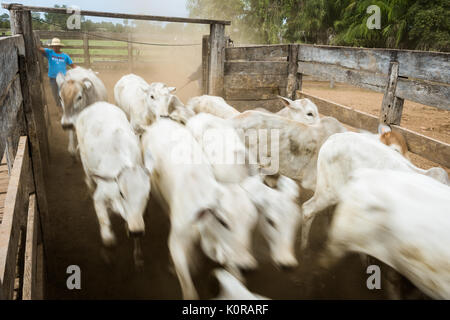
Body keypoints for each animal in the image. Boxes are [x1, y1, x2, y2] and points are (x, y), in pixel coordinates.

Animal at [141, 119, 256, 298]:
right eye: (223, 221)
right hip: (156, 190)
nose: (247, 266)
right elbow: (187, 286)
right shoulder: (176, 242)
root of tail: (160, 122)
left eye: (251, 222)